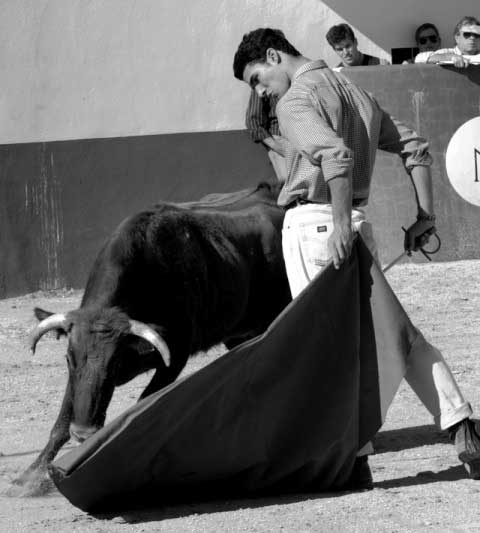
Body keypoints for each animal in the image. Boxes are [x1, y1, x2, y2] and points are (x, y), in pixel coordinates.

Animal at [11, 183, 290, 494]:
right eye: (69, 359)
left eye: (114, 364)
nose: (83, 433)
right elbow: (63, 415)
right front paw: (29, 478)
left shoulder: (175, 358)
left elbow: (143, 404)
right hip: (239, 331)